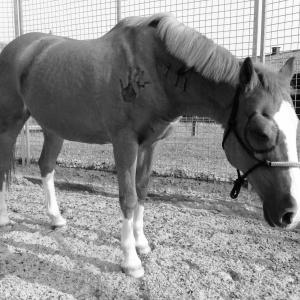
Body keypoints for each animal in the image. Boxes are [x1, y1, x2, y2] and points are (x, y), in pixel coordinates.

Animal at [0, 12, 300, 278]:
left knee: (46, 166)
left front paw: (141, 243)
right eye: (260, 132)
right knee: (5, 167)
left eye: (295, 124)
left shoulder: (150, 145)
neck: (154, 70)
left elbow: (142, 191)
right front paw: (131, 261)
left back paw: (55, 218)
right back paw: (4, 218)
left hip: (54, 128)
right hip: (11, 123)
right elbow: (128, 198)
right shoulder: (124, 144)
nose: (290, 214)